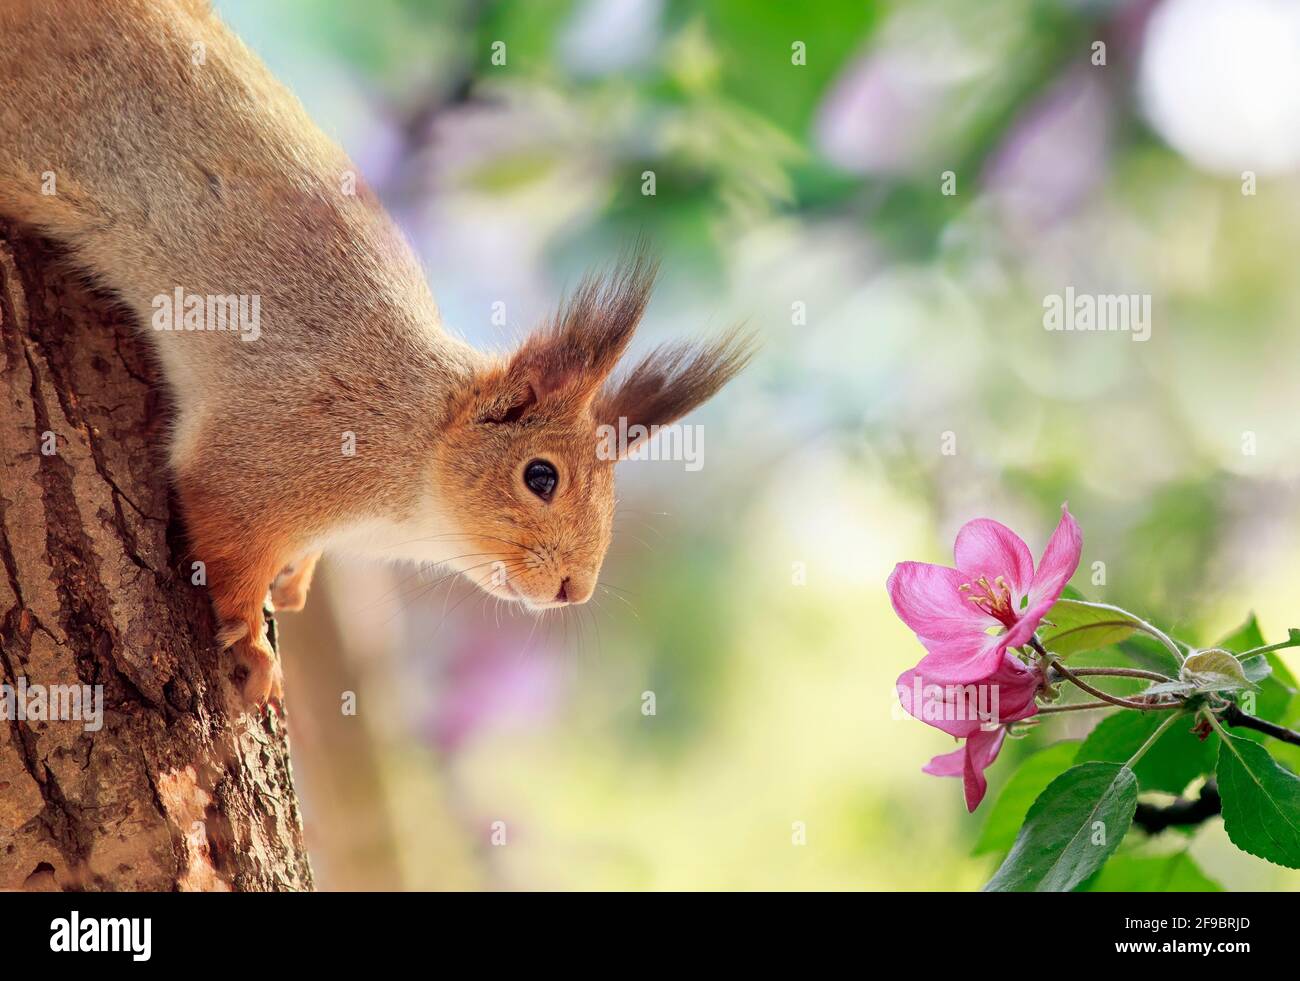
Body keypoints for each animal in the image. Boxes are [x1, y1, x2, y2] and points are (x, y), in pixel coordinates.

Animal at [0, 0, 754, 706]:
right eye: (540, 476)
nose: (576, 589)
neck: (419, 446)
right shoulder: (281, 450)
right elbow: (226, 535)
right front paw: (254, 646)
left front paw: (297, 578)